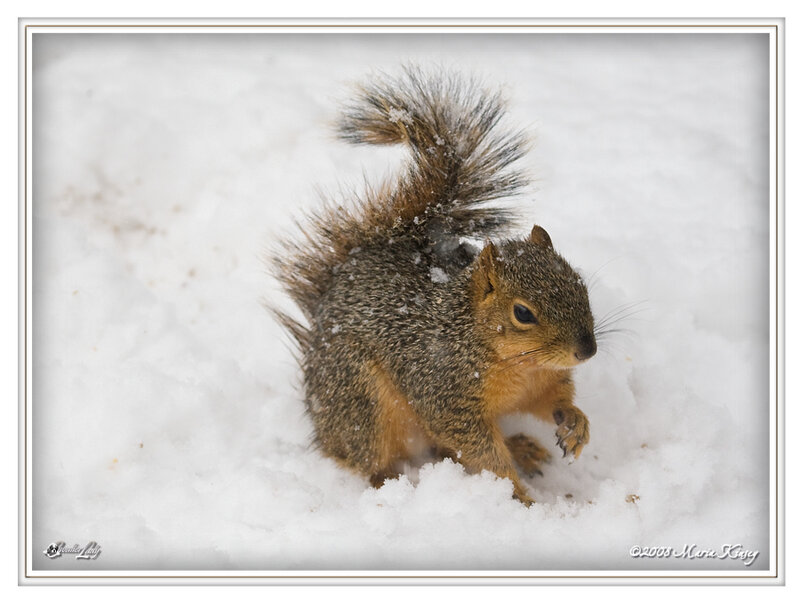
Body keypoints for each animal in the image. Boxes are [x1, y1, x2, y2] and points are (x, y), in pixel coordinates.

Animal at [273, 66, 597, 505]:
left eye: (580, 285)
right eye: (522, 313)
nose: (587, 350)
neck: (519, 363)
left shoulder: (541, 383)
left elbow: (553, 402)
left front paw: (576, 424)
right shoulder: (445, 393)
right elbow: (481, 451)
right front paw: (517, 497)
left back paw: (524, 447)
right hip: (362, 403)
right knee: (367, 459)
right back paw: (388, 485)